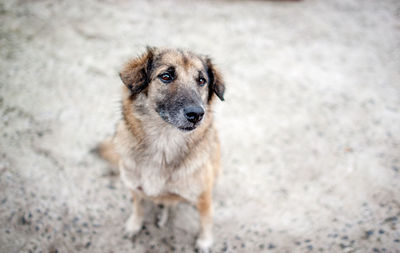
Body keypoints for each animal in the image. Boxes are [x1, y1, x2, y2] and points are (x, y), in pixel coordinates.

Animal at [98, 47, 225, 251]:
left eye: (201, 80)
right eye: (166, 76)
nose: (197, 114)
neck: (164, 144)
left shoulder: (203, 197)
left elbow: (206, 220)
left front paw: (205, 241)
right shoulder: (134, 188)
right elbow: (138, 206)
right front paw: (134, 224)